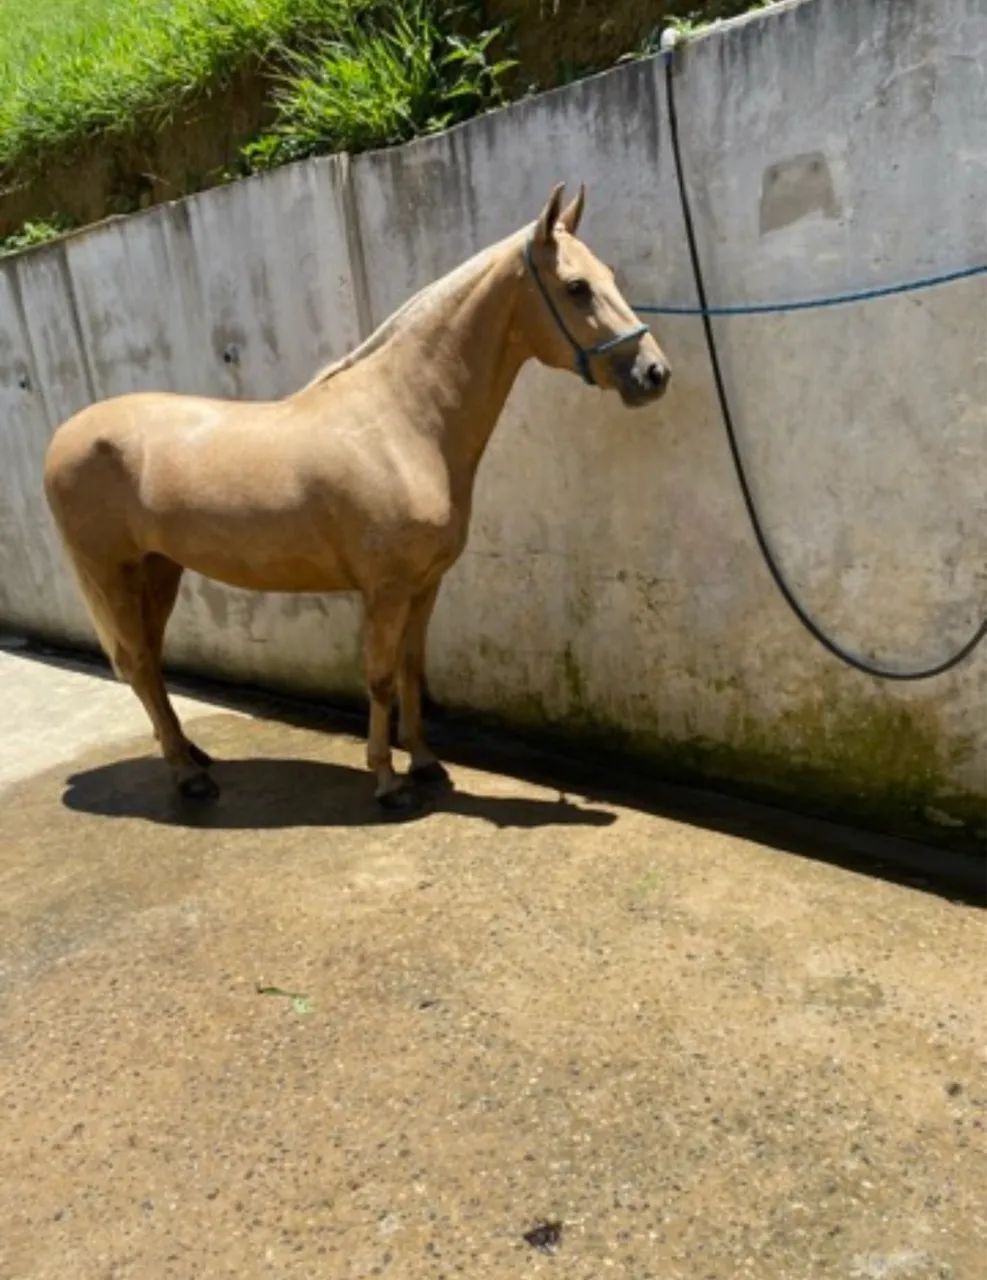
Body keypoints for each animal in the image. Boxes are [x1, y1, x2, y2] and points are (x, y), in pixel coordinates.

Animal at [44, 183, 670, 812]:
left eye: (608, 275)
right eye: (576, 286)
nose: (653, 373)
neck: (404, 419)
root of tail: (64, 437)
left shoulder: (424, 584)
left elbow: (413, 670)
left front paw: (425, 762)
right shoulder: (386, 589)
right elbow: (380, 676)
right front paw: (388, 781)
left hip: (159, 569)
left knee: (149, 663)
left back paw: (193, 754)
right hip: (112, 573)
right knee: (138, 663)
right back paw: (188, 776)